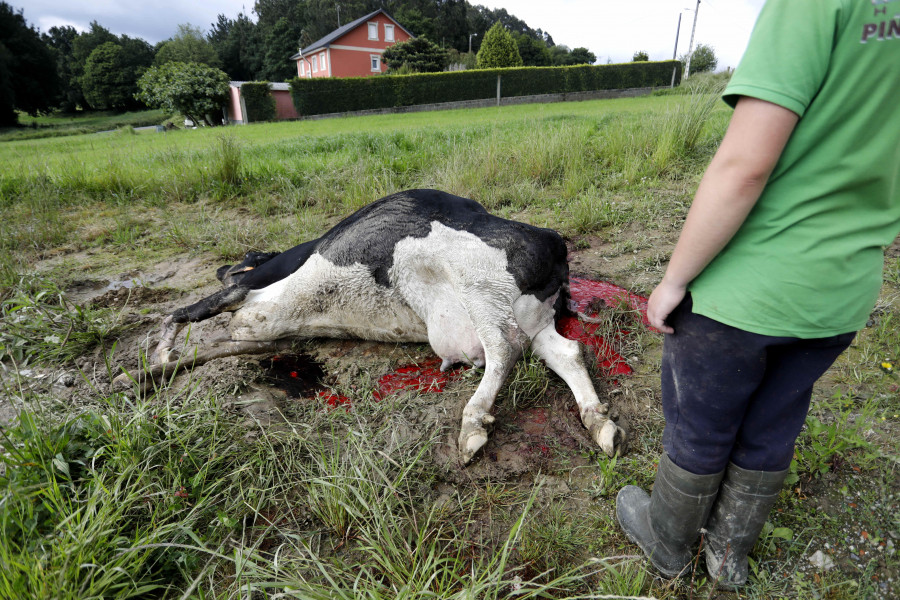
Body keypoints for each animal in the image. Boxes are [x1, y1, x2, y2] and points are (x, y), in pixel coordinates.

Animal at [116, 190, 624, 462]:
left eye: (243, 258)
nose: (225, 266)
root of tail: (555, 241)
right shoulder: (273, 336)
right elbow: (212, 349)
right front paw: (138, 376)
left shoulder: (243, 294)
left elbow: (183, 313)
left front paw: (156, 353)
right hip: (530, 318)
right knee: (565, 352)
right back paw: (600, 425)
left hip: (475, 283)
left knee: (503, 348)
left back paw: (471, 425)